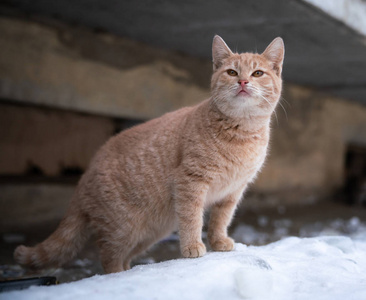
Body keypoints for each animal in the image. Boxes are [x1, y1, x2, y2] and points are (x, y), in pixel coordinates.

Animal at [14, 35, 284, 274]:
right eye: (231, 73)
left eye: (257, 74)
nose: (243, 82)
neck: (241, 132)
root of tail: (84, 177)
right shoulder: (190, 182)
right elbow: (192, 219)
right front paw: (193, 246)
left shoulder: (232, 192)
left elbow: (220, 220)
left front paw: (219, 242)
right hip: (123, 228)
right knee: (108, 257)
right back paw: (118, 275)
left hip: (149, 233)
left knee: (123, 256)